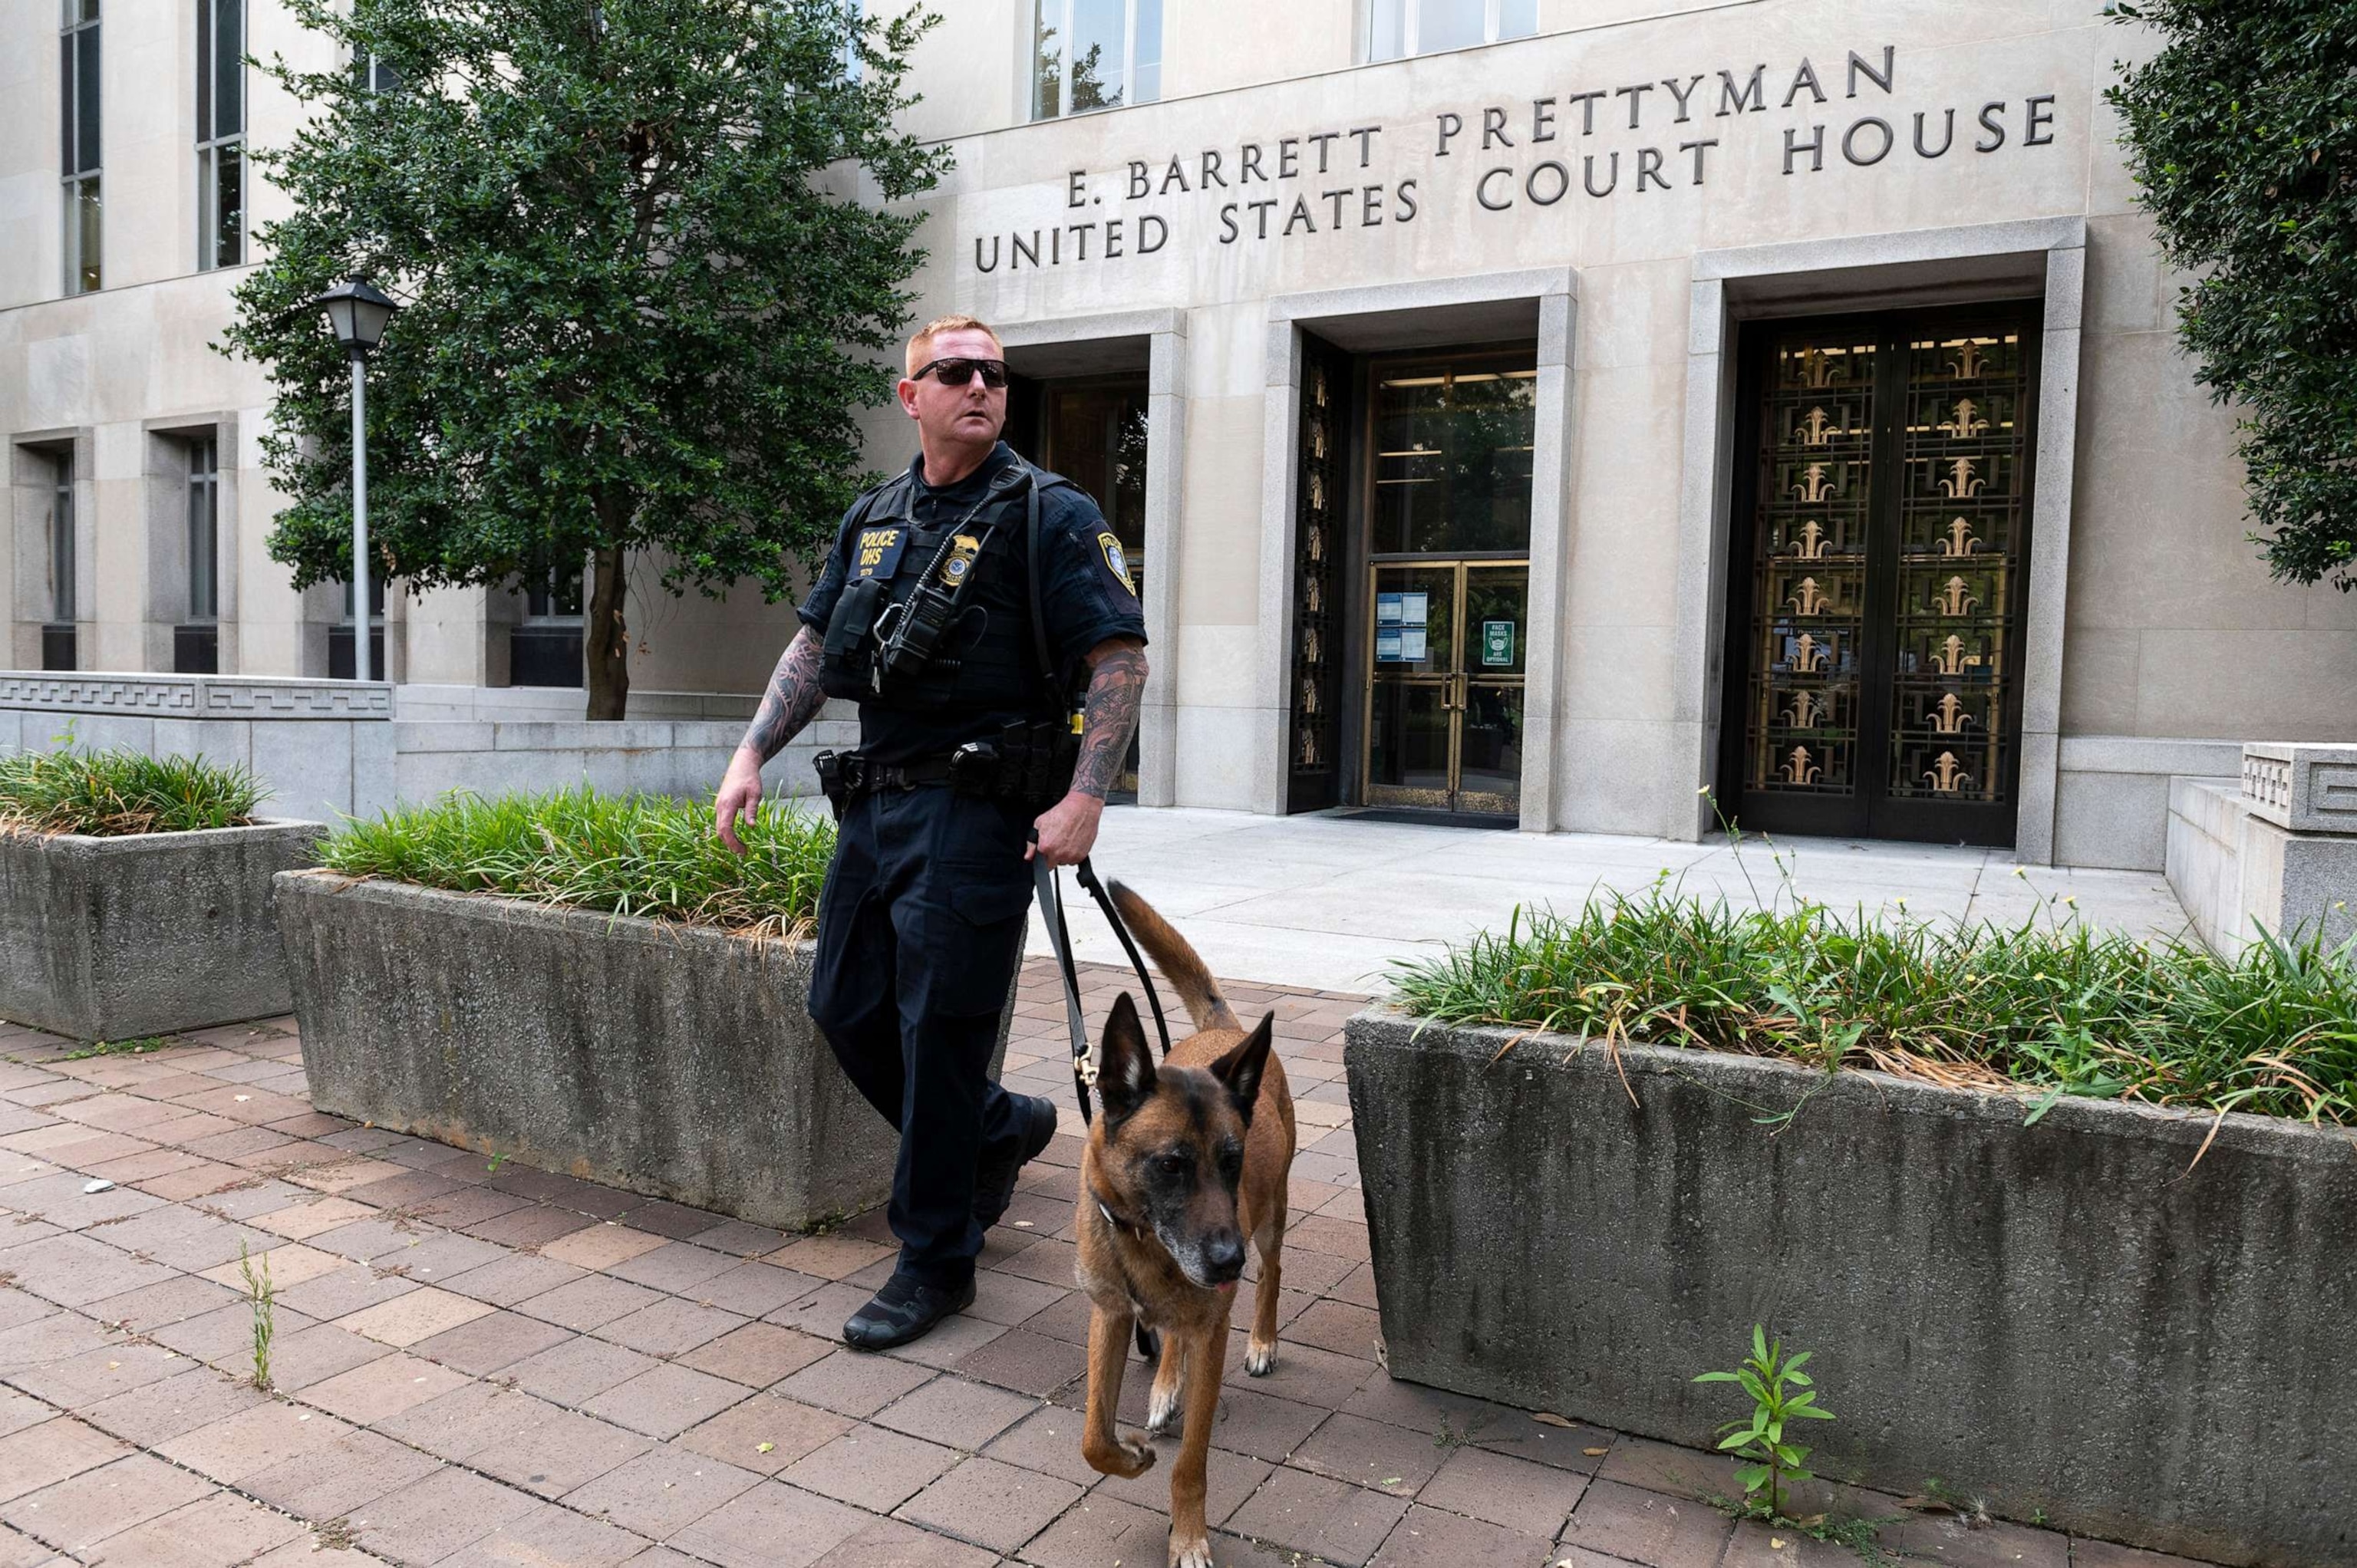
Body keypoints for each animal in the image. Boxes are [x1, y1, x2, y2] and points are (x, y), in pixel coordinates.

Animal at [1079, 881, 1300, 1565]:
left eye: (1232, 1161)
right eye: (1171, 1165)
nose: (1228, 1263)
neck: (1146, 1242)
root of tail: (1225, 1034)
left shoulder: (1213, 1330)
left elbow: (1192, 1465)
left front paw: (1189, 1535)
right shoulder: (1110, 1315)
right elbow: (1094, 1438)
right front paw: (1129, 1455)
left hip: (1271, 1219)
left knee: (1273, 1272)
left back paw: (1262, 1341)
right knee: (1175, 1328)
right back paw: (1165, 1385)